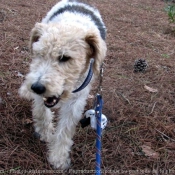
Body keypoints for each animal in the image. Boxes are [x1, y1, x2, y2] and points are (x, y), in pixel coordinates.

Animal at [19, 0, 106, 170]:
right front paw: (45, 132)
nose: (36, 88)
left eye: (65, 57)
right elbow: (41, 112)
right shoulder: (40, 92)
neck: (70, 23)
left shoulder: (76, 100)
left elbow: (65, 130)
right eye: (39, 54)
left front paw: (58, 158)